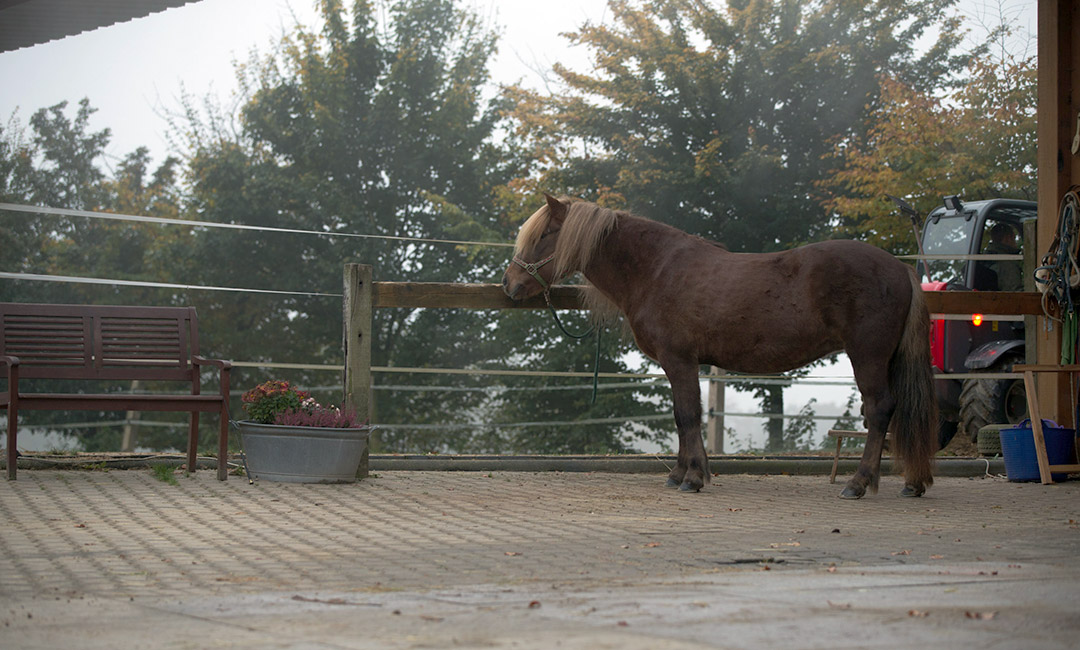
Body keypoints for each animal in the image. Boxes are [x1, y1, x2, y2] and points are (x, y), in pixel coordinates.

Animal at [501, 192, 933, 496]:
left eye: (544, 235)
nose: (509, 285)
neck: (656, 270)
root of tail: (900, 268)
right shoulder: (678, 364)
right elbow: (681, 417)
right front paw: (680, 473)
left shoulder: (679, 360)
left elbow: (688, 415)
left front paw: (693, 478)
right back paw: (911, 482)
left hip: (868, 356)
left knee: (879, 410)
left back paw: (858, 483)